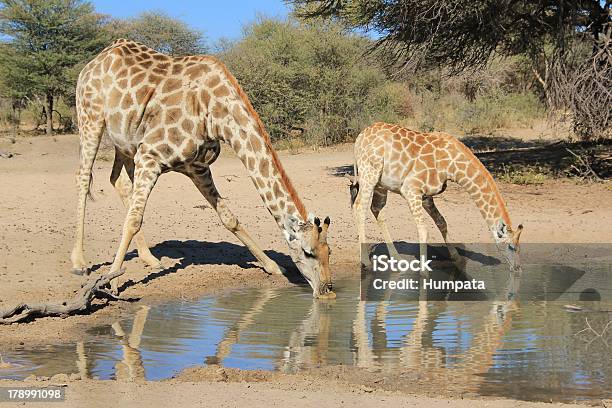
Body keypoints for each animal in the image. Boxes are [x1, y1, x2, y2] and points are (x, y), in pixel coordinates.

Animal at [70, 39, 334, 298]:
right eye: (308, 252)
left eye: (329, 251)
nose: (326, 290)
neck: (216, 114)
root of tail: (94, 61)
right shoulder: (150, 155)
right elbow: (133, 220)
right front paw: (113, 281)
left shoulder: (196, 167)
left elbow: (229, 218)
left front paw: (272, 266)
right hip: (91, 118)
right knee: (83, 178)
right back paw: (79, 262)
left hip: (126, 142)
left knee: (118, 180)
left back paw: (150, 258)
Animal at [350, 122, 520, 272]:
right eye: (511, 246)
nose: (518, 268)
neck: (452, 166)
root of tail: (359, 138)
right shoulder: (411, 189)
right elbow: (424, 230)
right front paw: (424, 271)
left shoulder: (426, 195)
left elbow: (442, 222)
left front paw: (457, 258)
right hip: (369, 173)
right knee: (359, 207)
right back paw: (366, 261)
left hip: (381, 183)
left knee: (376, 209)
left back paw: (397, 258)